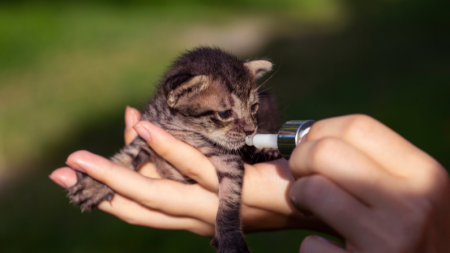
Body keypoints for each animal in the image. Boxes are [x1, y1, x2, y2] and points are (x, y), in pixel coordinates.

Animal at [67, 46, 280, 252]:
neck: (179, 127)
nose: (251, 130)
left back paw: (268, 152)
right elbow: (124, 157)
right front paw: (94, 185)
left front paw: (230, 240)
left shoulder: (229, 161)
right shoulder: (147, 134)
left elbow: (229, 202)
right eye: (225, 113)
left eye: (253, 107)